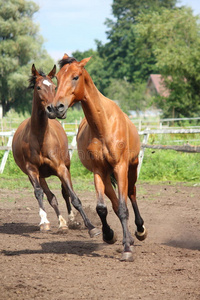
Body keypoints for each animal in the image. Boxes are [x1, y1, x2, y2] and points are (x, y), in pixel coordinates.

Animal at [12, 63, 98, 237]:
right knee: (50, 197)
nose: (53, 108)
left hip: (66, 167)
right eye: (38, 87)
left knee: (64, 193)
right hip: (40, 176)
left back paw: (70, 220)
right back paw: (61, 223)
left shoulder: (61, 168)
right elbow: (40, 194)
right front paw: (44, 222)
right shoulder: (32, 171)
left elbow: (73, 197)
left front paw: (91, 227)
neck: (40, 138)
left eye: (54, 86)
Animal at [50, 55, 147, 262]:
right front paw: (109, 235)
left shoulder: (120, 167)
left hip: (131, 169)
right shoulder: (98, 171)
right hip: (108, 178)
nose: (56, 107)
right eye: (57, 78)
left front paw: (127, 249)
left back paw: (140, 230)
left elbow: (124, 206)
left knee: (131, 194)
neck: (104, 126)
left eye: (75, 77)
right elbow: (102, 208)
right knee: (115, 203)